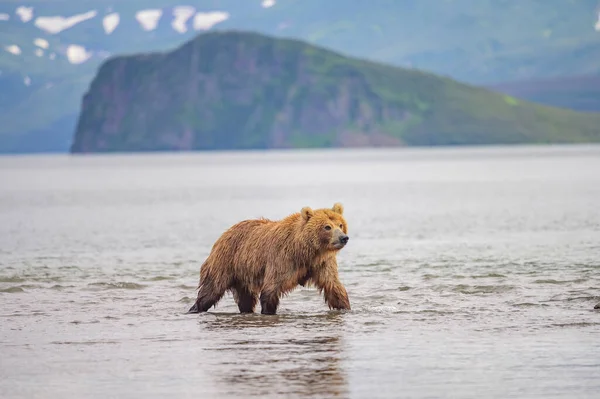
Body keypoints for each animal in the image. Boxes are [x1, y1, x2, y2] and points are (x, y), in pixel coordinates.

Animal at [188, 203, 352, 316]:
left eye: (340, 224)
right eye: (327, 227)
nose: (343, 238)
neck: (306, 250)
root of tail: (224, 233)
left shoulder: (321, 263)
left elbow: (333, 286)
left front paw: (345, 307)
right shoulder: (282, 259)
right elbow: (271, 289)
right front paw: (268, 311)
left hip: (243, 274)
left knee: (245, 299)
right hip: (226, 262)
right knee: (211, 290)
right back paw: (195, 308)